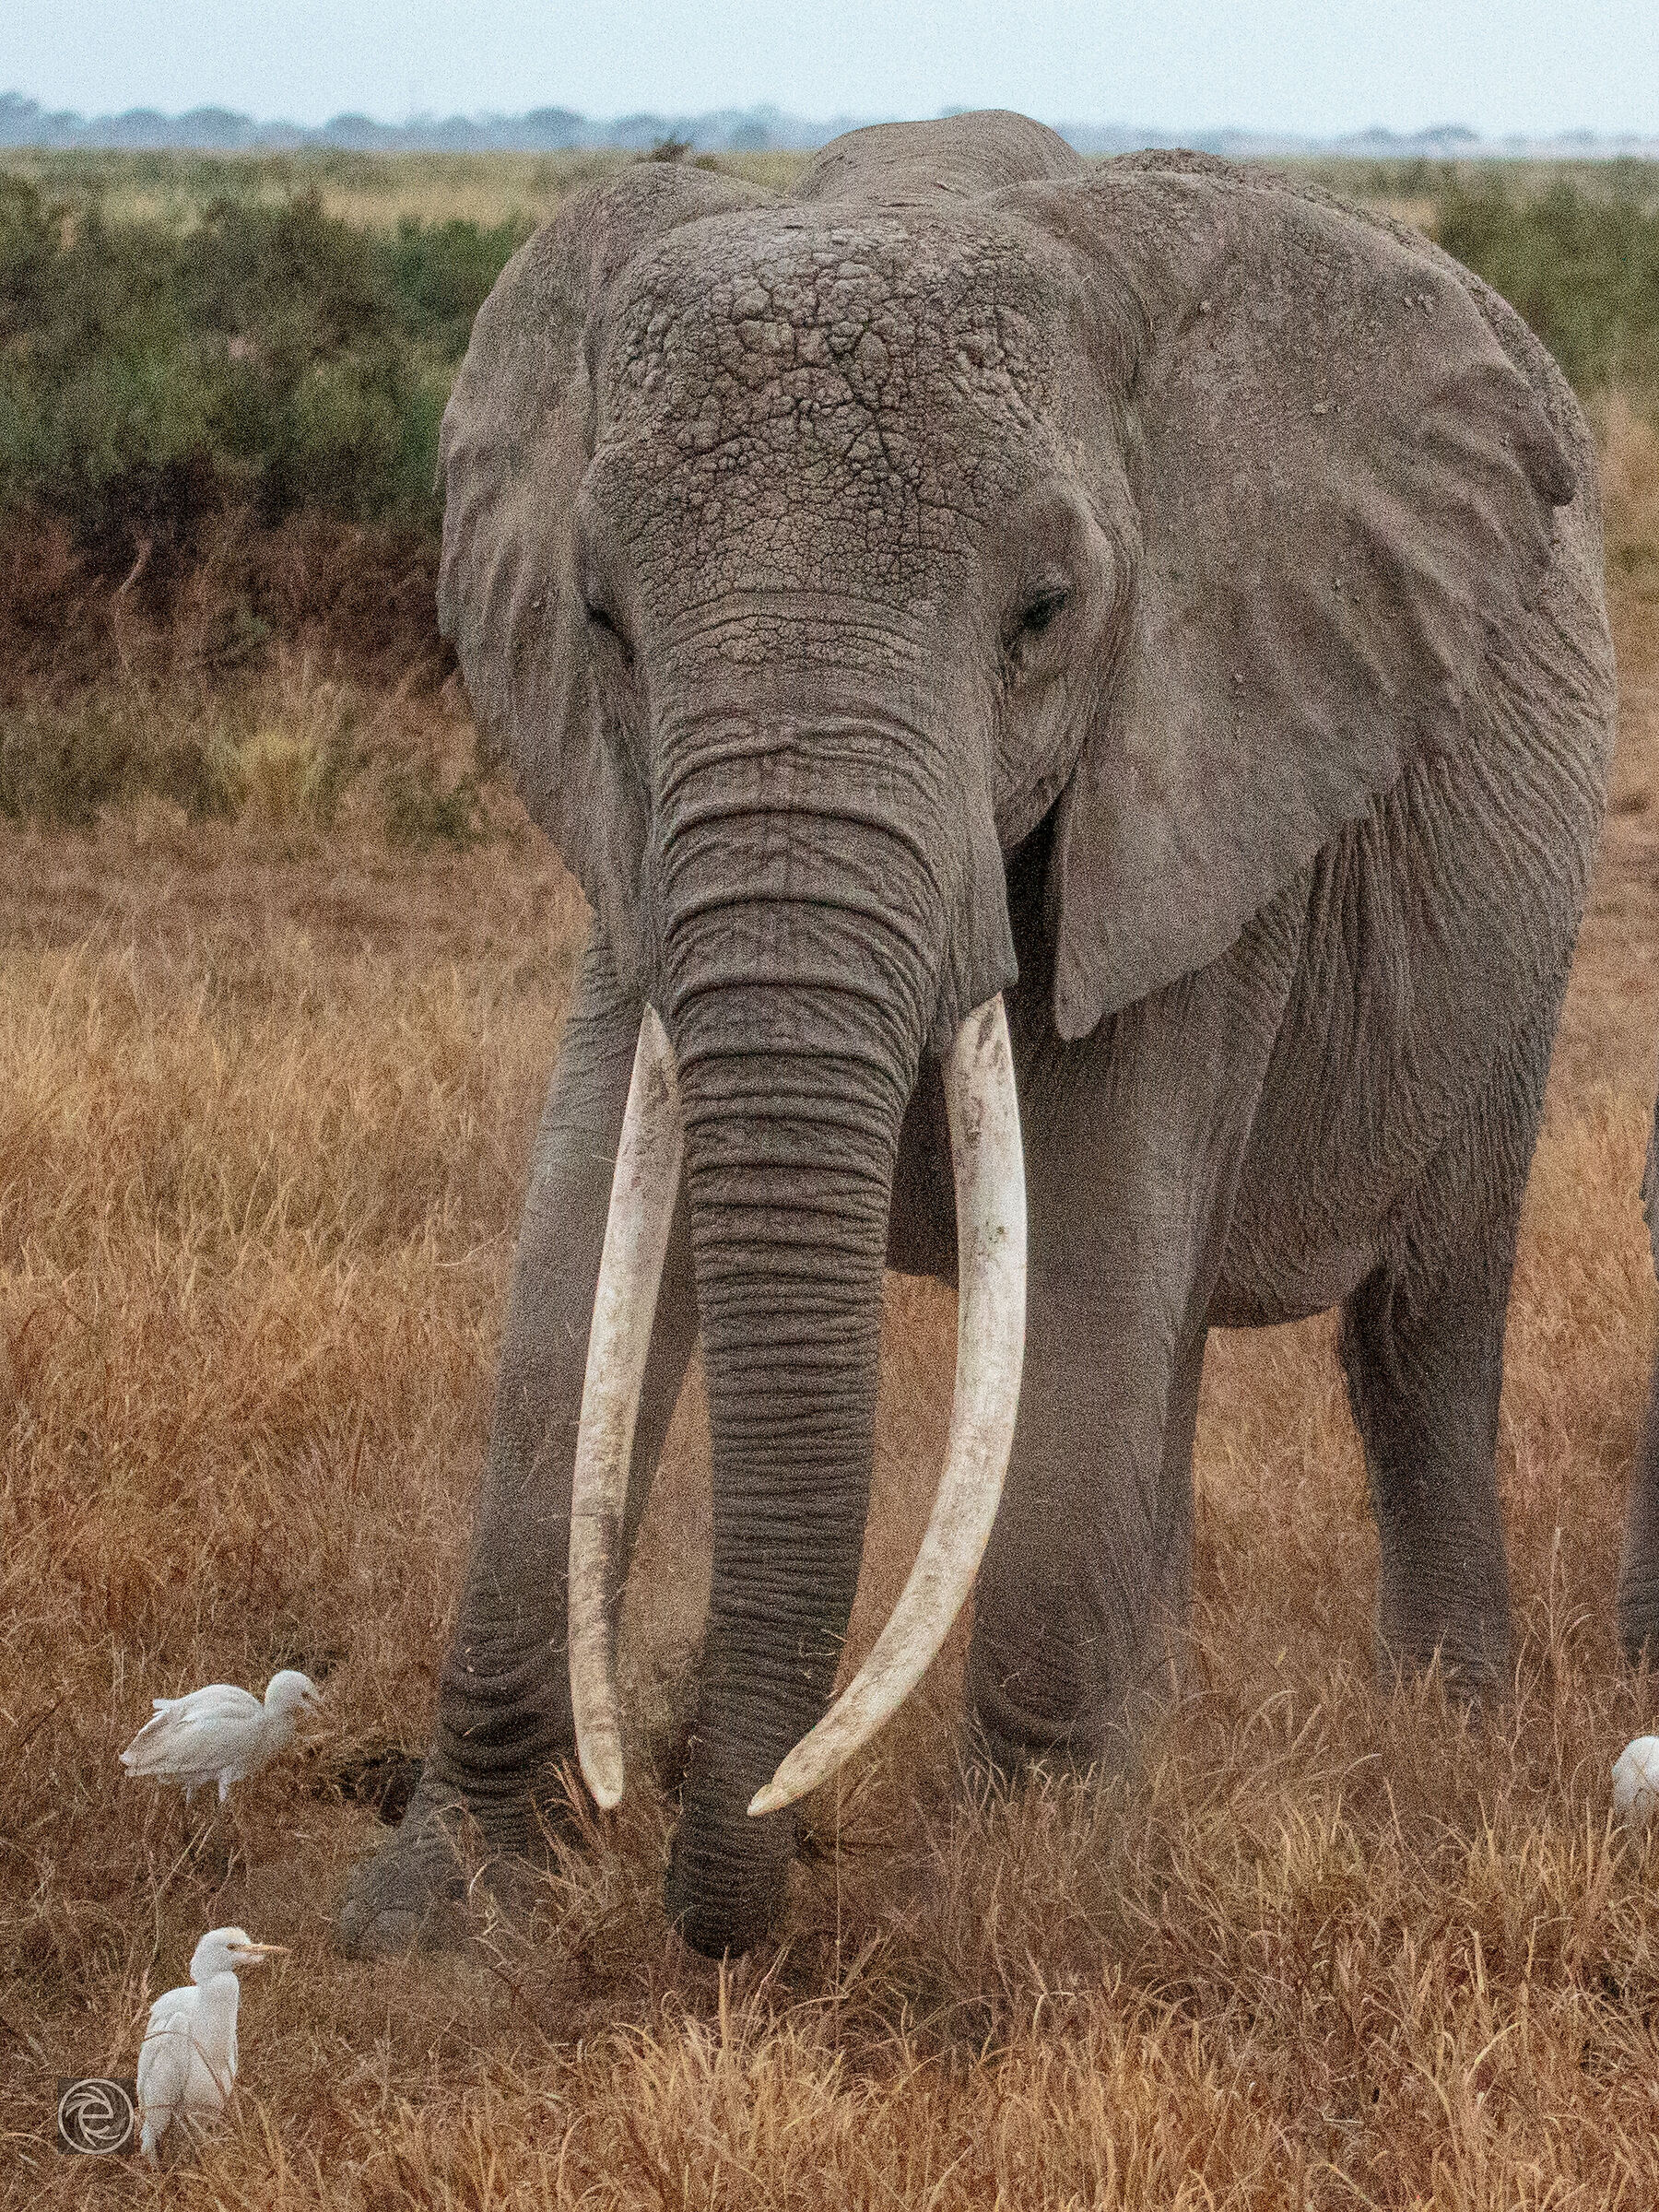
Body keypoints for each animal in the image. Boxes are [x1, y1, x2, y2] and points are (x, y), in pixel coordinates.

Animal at [338, 111, 1617, 1961]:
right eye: (598, 619)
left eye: (1045, 613)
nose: (722, 1897)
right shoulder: (627, 841)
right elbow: (576, 1264)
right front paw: (433, 1917)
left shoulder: (1200, 767)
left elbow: (1085, 1253)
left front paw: (1022, 1911)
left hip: (1521, 950)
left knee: (1418, 1334)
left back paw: (1442, 1736)